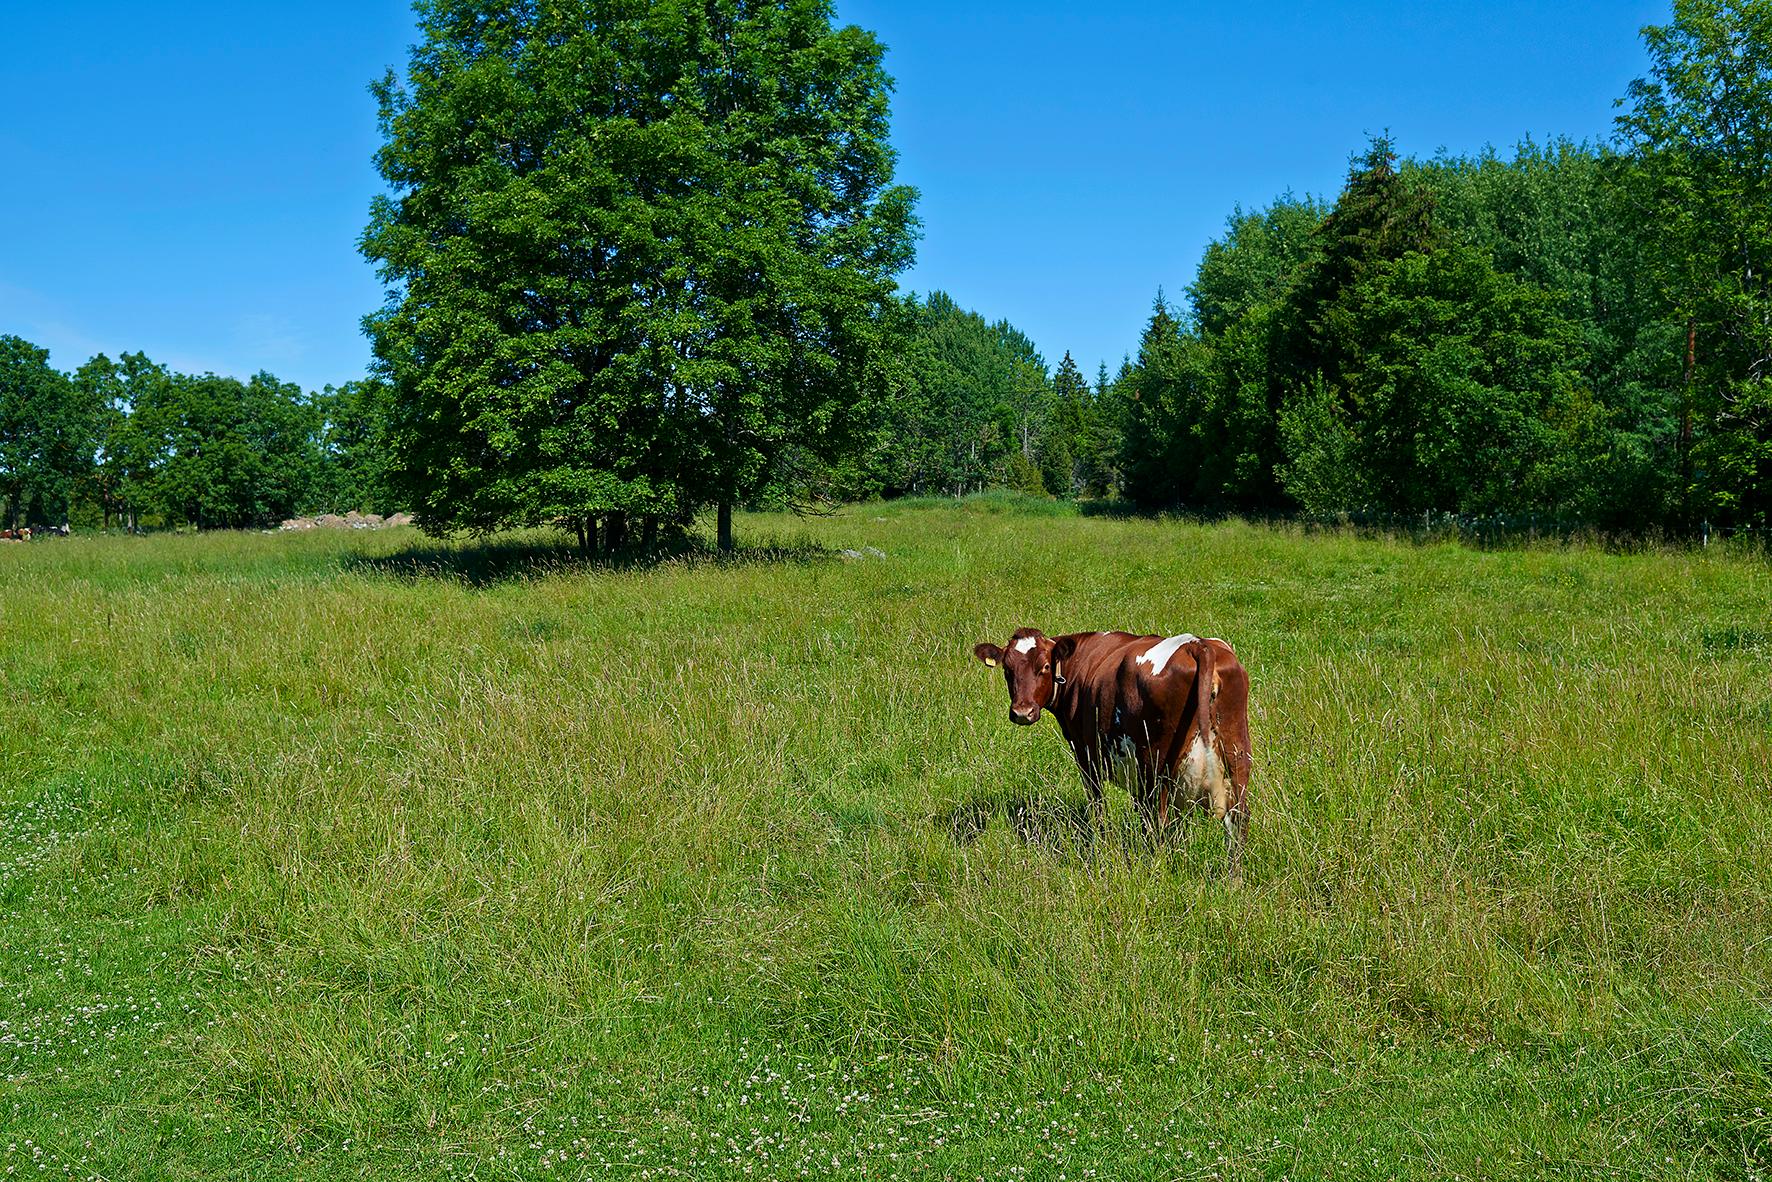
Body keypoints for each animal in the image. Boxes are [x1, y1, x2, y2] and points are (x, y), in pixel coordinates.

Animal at [978, 634, 1254, 875]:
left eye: (1045, 666)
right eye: (1007, 670)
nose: (1022, 712)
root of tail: (1197, 644)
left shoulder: (1086, 755)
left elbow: (1098, 806)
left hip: (1156, 764)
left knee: (1160, 819)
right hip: (1236, 752)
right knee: (1238, 817)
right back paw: (1235, 879)